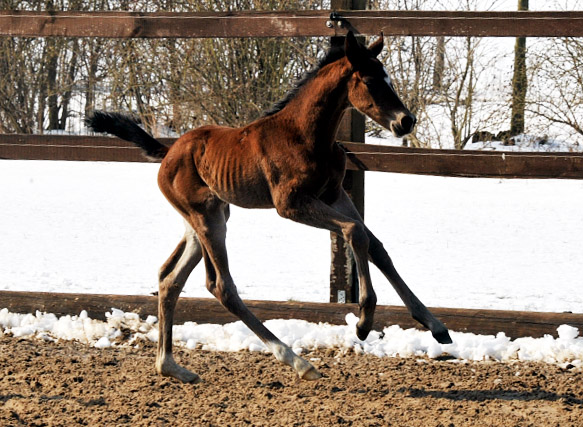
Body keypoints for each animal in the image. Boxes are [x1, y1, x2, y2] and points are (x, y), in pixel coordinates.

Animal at [86, 31, 454, 382]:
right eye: (370, 80)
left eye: (387, 77)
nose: (406, 121)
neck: (306, 135)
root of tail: (168, 152)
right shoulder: (290, 205)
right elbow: (355, 233)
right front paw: (364, 320)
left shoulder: (335, 194)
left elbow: (374, 244)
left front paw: (436, 326)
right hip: (208, 219)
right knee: (221, 286)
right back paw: (297, 361)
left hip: (204, 220)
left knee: (169, 279)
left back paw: (172, 367)